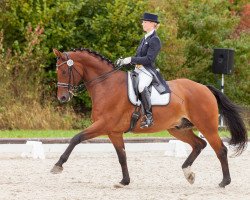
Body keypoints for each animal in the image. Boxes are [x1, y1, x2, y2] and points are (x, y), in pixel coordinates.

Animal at [50, 48, 248, 188]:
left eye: (65, 72)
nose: (62, 98)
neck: (106, 85)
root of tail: (204, 88)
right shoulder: (113, 132)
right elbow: (122, 156)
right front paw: (124, 181)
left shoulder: (103, 125)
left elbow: (76, 138)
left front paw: (58, 165)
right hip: (177, 129)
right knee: (199, 144)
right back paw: (188, 173)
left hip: (207, 126)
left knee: (220, 150)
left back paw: (224, 182)